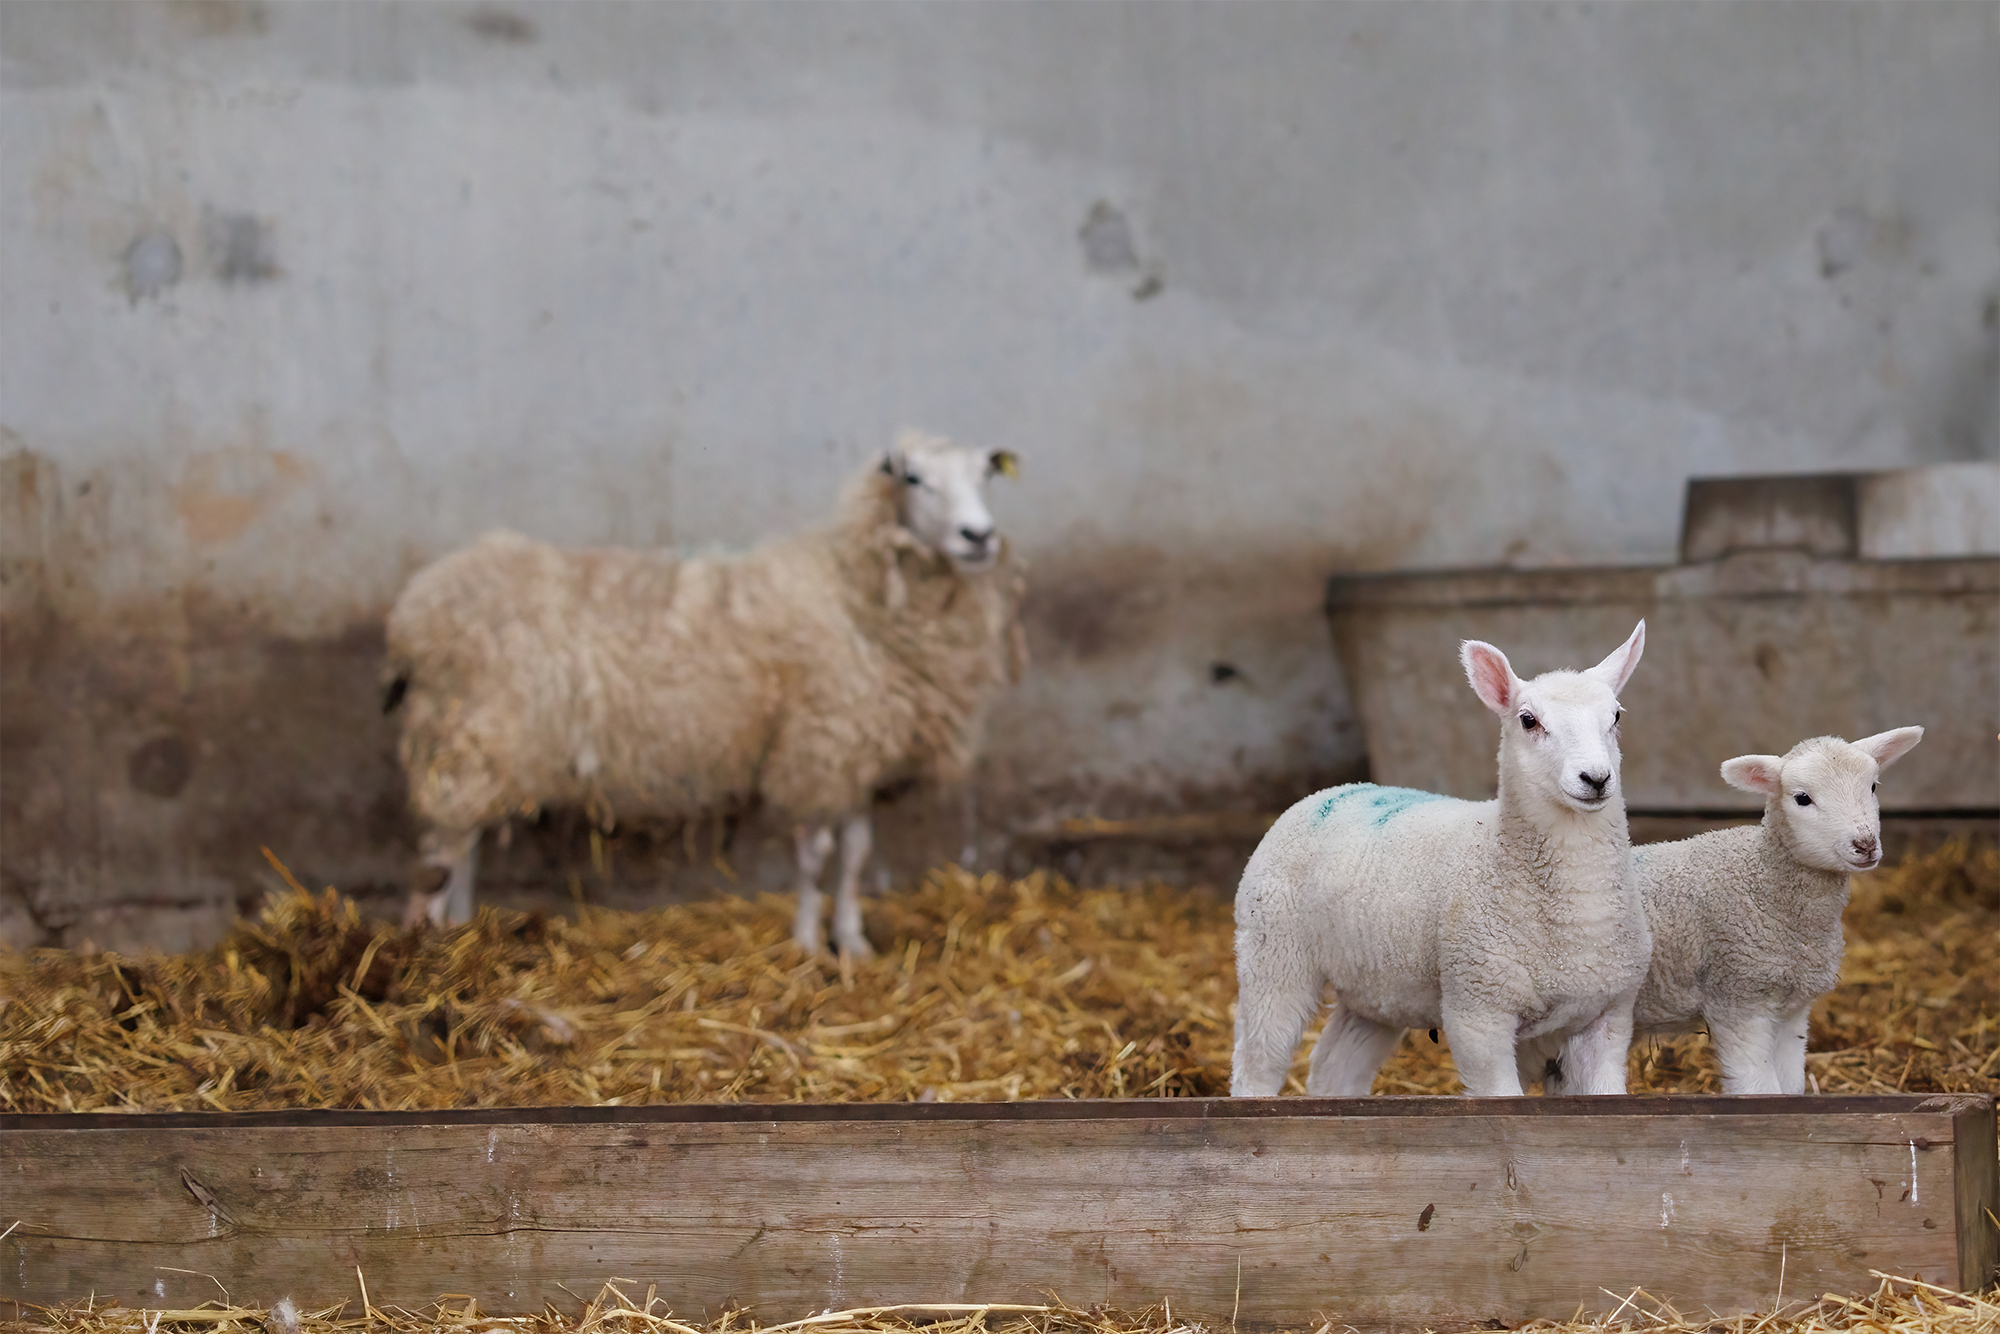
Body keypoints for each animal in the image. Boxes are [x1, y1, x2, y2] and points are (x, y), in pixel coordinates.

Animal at [383, 429, 1028, 956]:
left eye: (986, 476)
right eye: (915, 478)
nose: (979, 536)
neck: (853, 589)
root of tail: (415, 608)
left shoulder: (856, 754)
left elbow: (856, 855)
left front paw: (853, 943)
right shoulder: (816, 746)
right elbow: (815, 854)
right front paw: (807, 945)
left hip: (478, 748)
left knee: (461, 848)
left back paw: (462, 933)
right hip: (466, 736)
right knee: (441, 854)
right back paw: (431, 946)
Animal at [1231, 622, 1651, 1099]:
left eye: (1616, 717)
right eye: (1528, 720)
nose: (1596, 778)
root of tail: (1331, 791)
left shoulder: (1609, 1014)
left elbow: (1607, 1091)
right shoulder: (1477, 1011)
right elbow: (1502, 1093)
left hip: (1376, 987)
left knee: (1334, 1065)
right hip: (1273, 951)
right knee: (1258, 1058)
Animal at [1607, 727, 1925, 1096]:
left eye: (1873, 786)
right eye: (1802, 798)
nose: (1866, 845)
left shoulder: (1792, 1010)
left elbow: (1790, 1086)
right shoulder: (1738, 996)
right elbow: (1761, 1088)